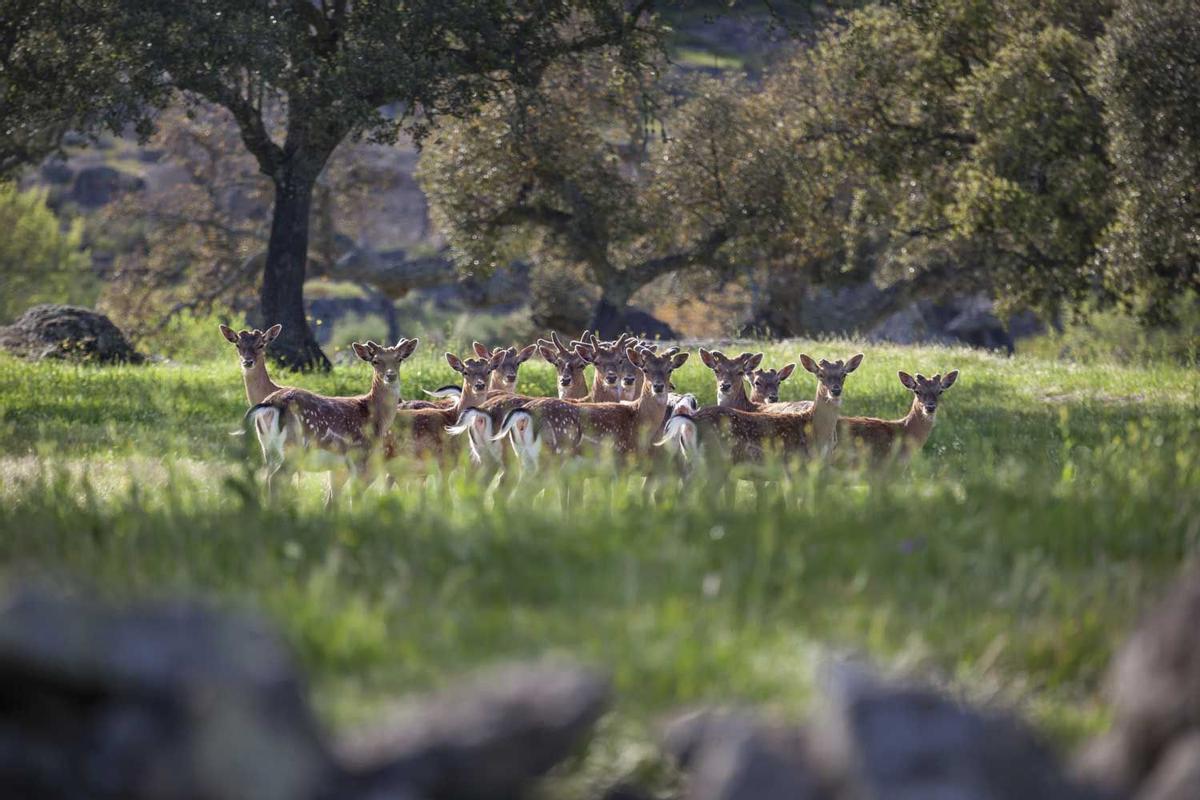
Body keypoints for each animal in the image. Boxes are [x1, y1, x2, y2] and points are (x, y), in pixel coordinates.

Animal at [241, 340, 420, 503]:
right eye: (375, 361)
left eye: (399, 359)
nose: (391, 375)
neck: (376, 417)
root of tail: (271, 404)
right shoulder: (359, 456)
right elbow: (354, 499)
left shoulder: (339, 467)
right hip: (293, 448)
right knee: (276, 479)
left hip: (267, 449)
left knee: (266, 479)